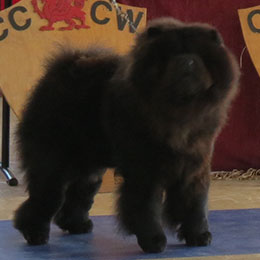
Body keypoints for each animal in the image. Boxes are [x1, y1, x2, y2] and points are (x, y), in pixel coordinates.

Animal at [14, 17, 240, 253]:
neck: (178, 112)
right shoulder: (145, 170)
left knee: (79, 195)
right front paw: (153, 241)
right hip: (53, 163)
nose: (186, 61)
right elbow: (146, 206)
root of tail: (61, 70)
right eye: (170, 54)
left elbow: (194, 203)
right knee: (45, 198)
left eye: (199, 55)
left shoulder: (194, 166)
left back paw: (77, 225)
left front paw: (199, 236)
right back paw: (35, 234)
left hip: (90, 168)